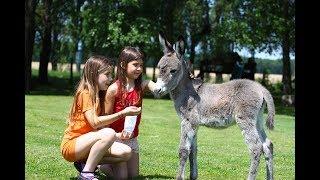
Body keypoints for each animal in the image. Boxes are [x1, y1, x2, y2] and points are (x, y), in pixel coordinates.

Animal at [154, 32, 276, 180]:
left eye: (173, 70)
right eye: (159, 68)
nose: (156, 90)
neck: (188, 91)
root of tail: (261, 88)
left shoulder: (188, 121)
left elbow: (183, 150)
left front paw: (179, 177)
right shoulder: (195, 124)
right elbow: (193, 150)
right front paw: (193, 176)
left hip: (245, 119)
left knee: (256, 148)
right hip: (257, 120)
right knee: (267, 145)